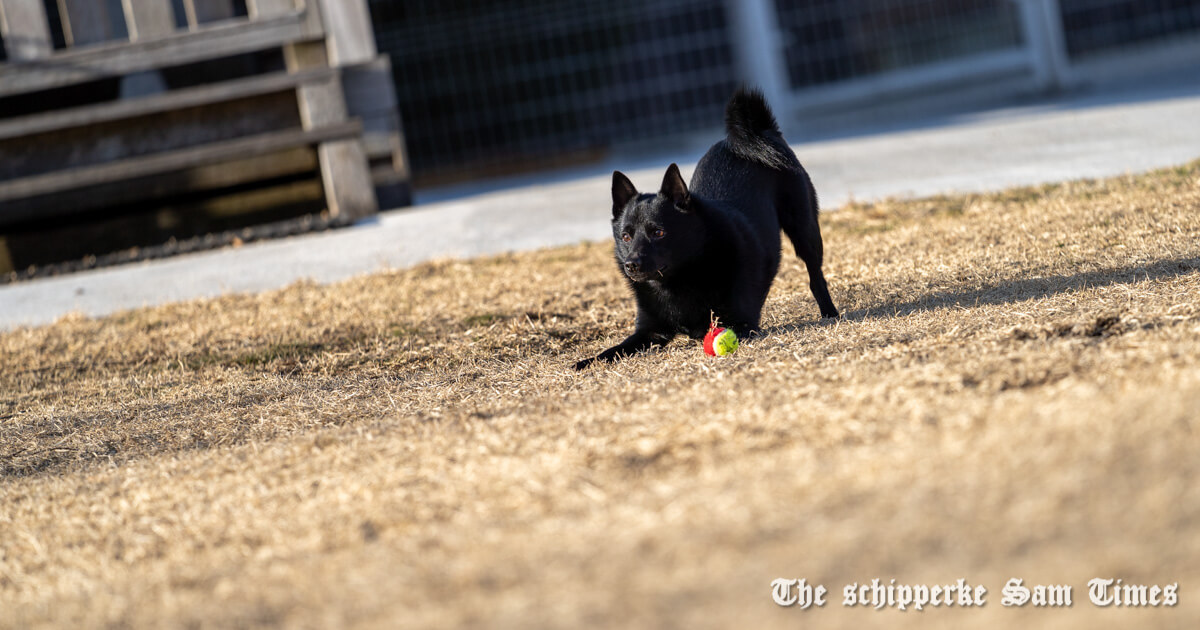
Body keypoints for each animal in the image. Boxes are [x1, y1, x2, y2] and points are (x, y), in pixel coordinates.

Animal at [576, 86, 840, 372]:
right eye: (626, 236)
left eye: (658, 232)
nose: (631, 265)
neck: (677, 281)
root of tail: (759, 130)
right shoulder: (649, 331)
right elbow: (614, 350)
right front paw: (585, 362)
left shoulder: (741, 322)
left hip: (805, 230)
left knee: (815, 276)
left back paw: (830, 314)